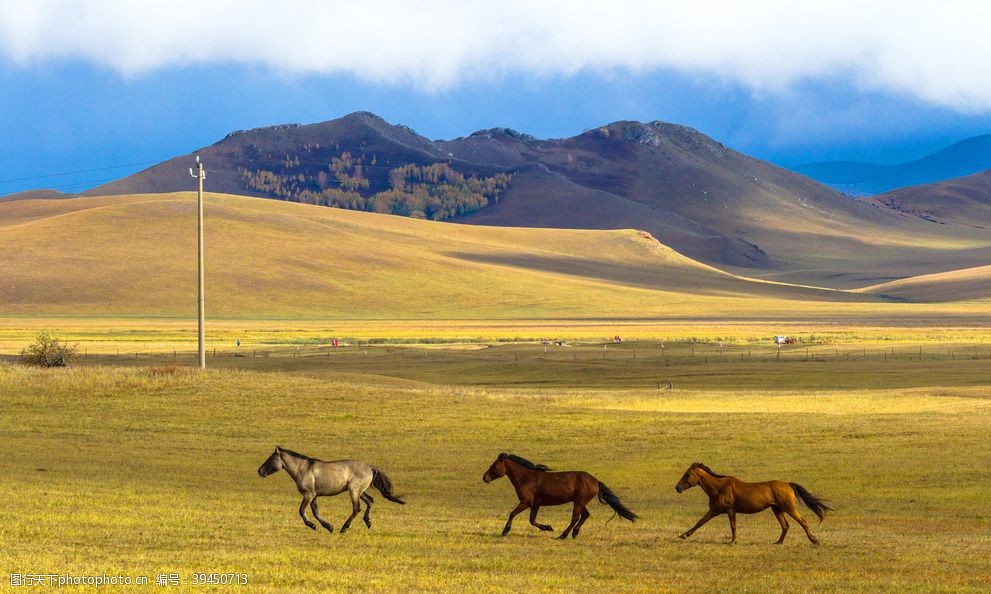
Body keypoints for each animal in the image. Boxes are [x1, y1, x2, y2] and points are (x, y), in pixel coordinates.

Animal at [260, 444, 410, 532]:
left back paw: (344, 528)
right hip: (360, 491)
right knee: (370, 501)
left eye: (271, 458)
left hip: (354, 491)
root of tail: (371, 467)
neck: (302, 469)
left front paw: (313, 525)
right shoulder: (314, 495)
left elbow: (302, 511)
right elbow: (316, 512)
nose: (260, 471)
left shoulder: (308, 495)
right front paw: (328, 526)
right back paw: (368, 522)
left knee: (357, 508)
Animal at [482, 450, 640, 540]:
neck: (526, 477)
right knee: (585, 516)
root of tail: (595, 481)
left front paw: (505, 531)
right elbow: (532, 521)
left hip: (578, 502)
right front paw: (548, 527)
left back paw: (562, 536)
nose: (485, 477)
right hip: (579, 502)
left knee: (575, 518)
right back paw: (574, 533)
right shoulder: (535, 504)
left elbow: (513, 514)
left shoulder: (526, 503)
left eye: (494, 466)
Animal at [676, 460, 828, 544]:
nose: (677, 487)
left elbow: (733, 526)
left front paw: (733, 541)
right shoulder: (714, 511)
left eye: (688, 474)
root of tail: (788, 484)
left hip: (789, 508)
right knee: (785, 525)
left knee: (802, 521)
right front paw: (683, 535)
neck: (719, 488)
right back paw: (778, 542)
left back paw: (814, 540)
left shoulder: (730, 510)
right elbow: (700, 522)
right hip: (777, 509)